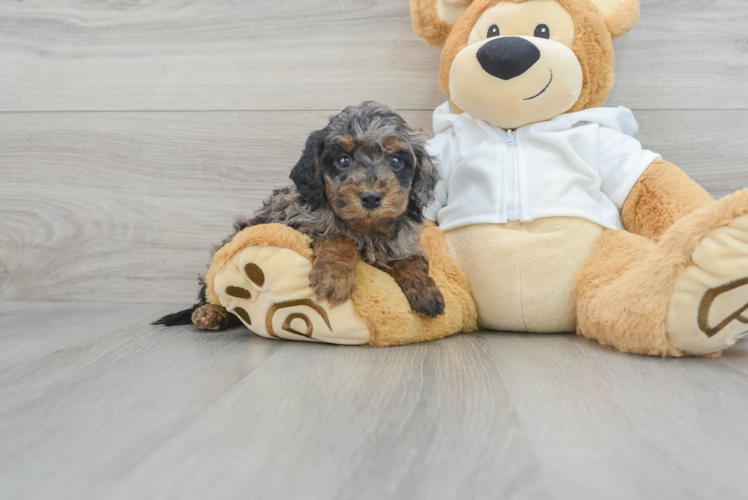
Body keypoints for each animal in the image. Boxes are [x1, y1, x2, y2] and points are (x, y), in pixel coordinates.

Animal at [153, 100, 444, 332]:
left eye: (396, 161)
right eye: (343, 161)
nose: (371, 197)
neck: (366, 228)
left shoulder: (403, 244)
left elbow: (412, 261)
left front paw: (426, 291)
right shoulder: (302, 224)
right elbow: (339, 239)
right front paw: (334, 278)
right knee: (214, 295)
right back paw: (210, 313)